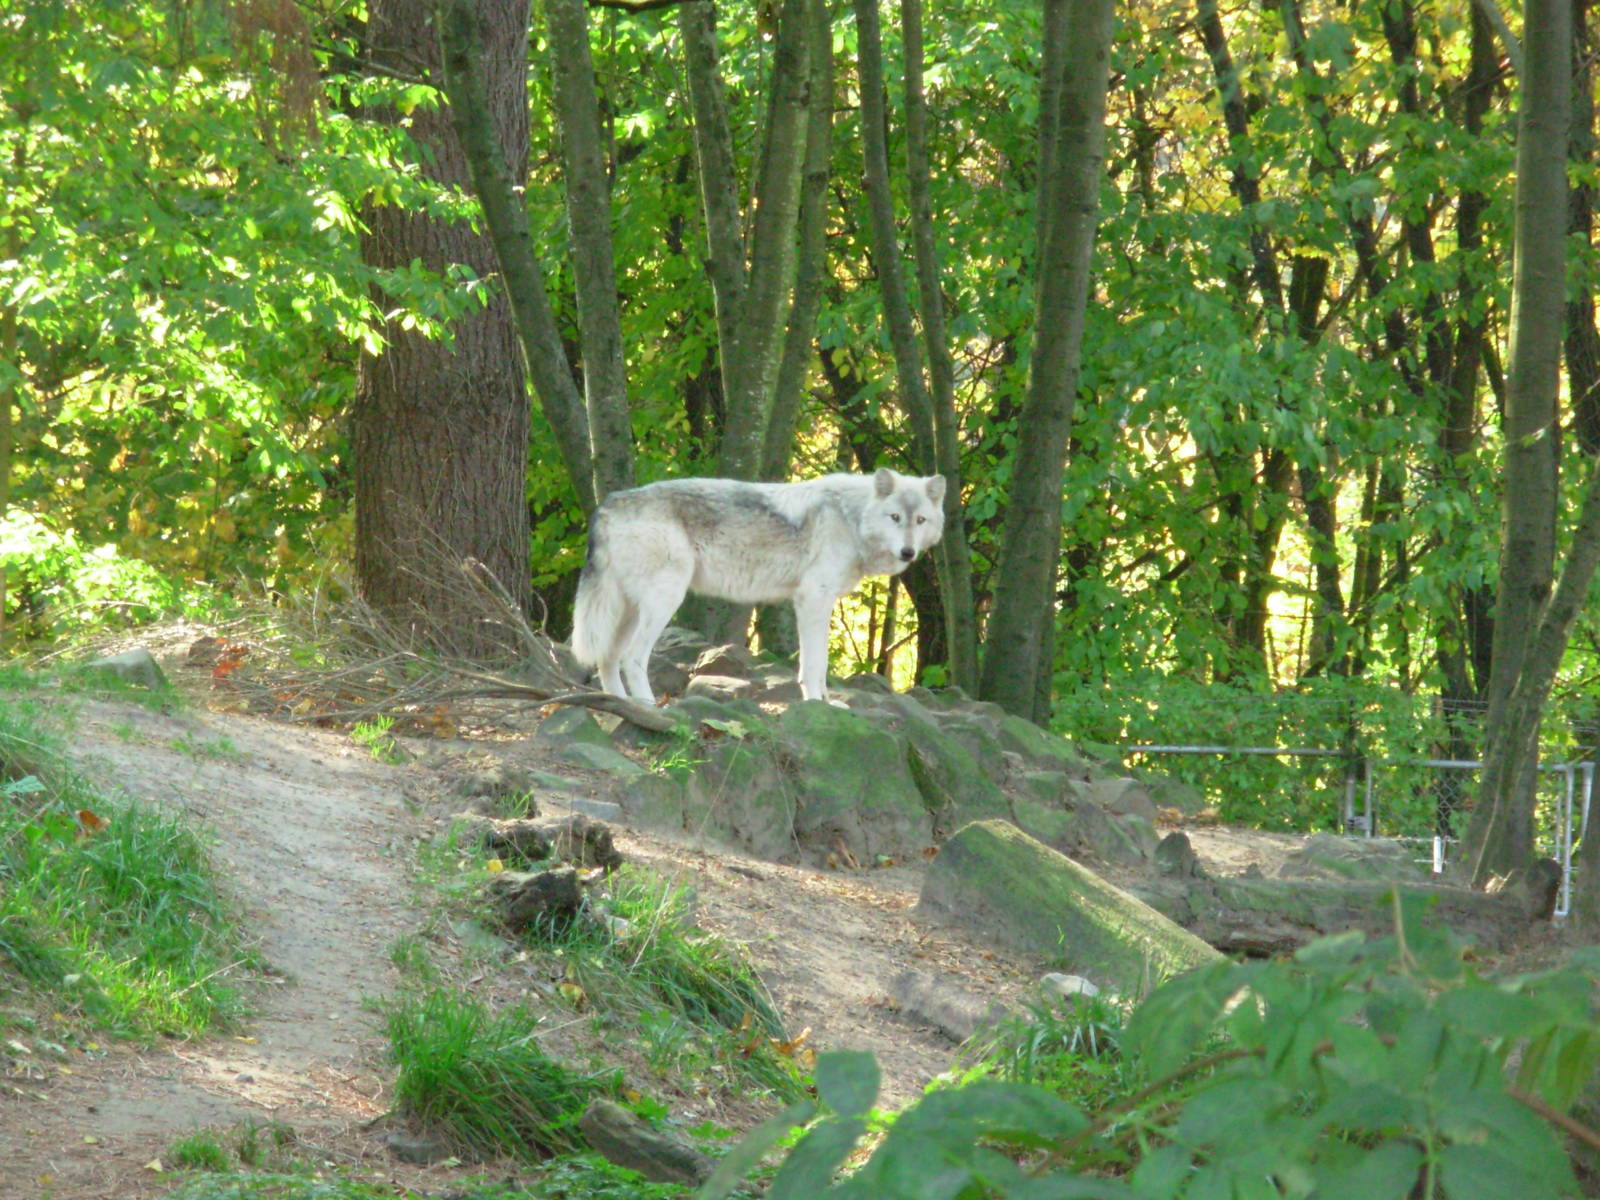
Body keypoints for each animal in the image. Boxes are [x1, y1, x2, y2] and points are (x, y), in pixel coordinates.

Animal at [570, 468, 947, 704]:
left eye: (920, 520)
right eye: (894, 518)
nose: (908, 552)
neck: (850, 518)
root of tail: (608, 504)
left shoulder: (818, 603)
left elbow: (821, 663)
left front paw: (828, 704)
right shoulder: (812, 600)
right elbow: (814, 665)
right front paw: (816, 704)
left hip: (629, 611)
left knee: (607, 658)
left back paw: (617, 704)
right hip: (663, 603)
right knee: (631, 657)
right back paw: (649, 706)